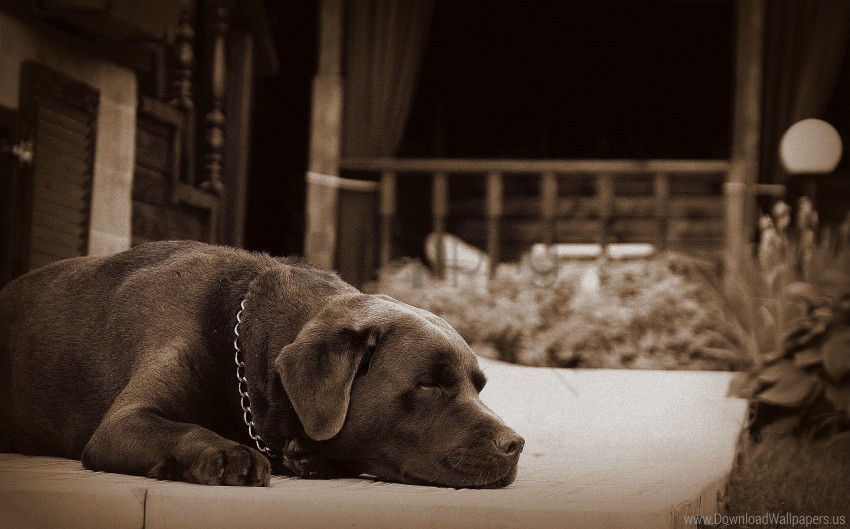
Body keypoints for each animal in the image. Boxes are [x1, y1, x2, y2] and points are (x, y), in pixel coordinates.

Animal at [0, 239, 524, 486]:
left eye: (479, 385)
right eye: (429, 384)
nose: (516, 444)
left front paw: (306, 457)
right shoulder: (123, 425)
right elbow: (181, 427)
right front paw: (229, 452)